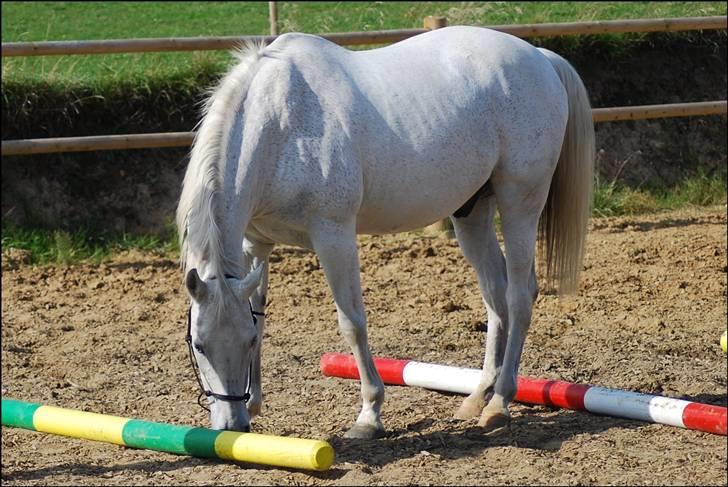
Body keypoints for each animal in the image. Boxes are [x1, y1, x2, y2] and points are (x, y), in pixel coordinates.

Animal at [179, 24, 596, 440]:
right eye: (199, 345)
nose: (232, 426)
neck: (280, 127)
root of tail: (541, 58)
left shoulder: (334, 237)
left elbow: (352, 323)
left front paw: (369, 415)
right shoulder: (256, 244)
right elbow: (260, 315)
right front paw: (255, 402)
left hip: (520, 203)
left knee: (518, 296)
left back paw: (499, 403)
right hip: (473, 215)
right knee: (495, 296)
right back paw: (478, 395)